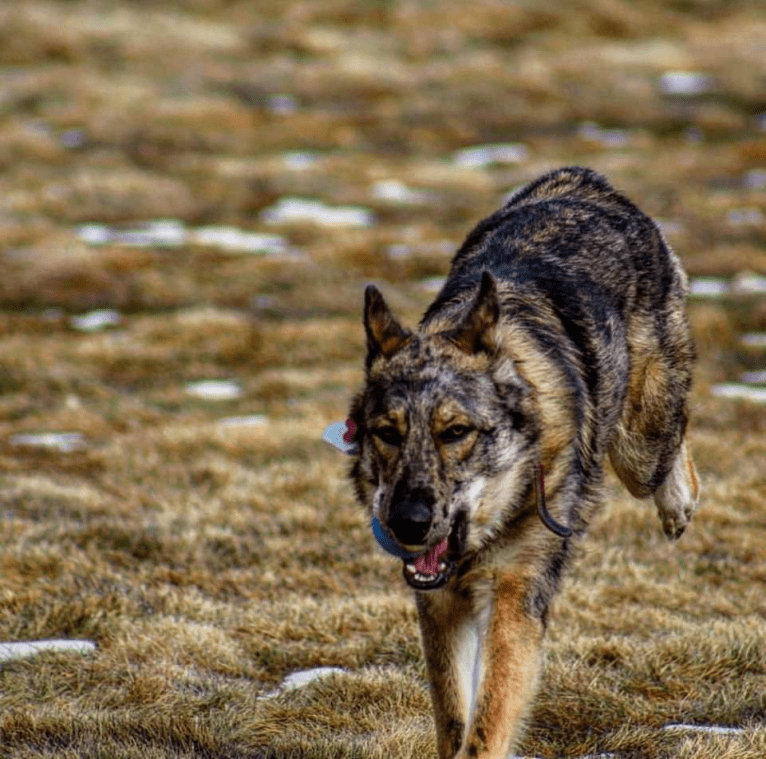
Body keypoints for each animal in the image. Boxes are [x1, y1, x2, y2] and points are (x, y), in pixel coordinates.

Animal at [332, 168, 700, 759]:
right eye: (388, 434)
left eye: (455, 433)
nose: (407, 523)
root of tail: (582, 181)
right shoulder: (438, 603)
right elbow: (454, 715)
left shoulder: (514, 596)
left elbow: (487, 724)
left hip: (641, 444)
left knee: (675, 439)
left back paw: (678, 506)